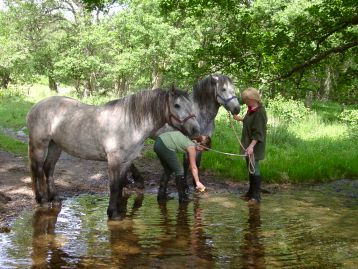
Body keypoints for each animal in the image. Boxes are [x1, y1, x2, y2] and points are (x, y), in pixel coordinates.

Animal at [26, 87, 200, 219]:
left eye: (190, 105)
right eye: (176, 105)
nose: (195, 129)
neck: (129, 123)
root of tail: (35, 107)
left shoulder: (127, 160)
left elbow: (121, 183)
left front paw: (120, 209)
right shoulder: (114, 160)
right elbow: (114, 186)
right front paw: (113, 213)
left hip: (55, 146)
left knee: (48, 169)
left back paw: (55, 199)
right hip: (40, 146)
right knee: (38, 169)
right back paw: (42, 200)